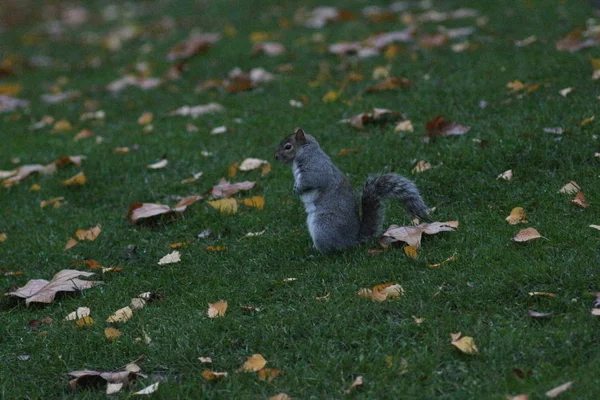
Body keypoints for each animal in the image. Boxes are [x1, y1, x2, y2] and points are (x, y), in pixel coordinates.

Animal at [274, 128, 428, 253]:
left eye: (288, 147)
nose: (275, 157)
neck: (307, 151)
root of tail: (352, 240)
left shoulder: (315, 169)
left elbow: (310, 181)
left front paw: (296, 189)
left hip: (323, 226)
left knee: (332, 248)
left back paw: (316, 252)